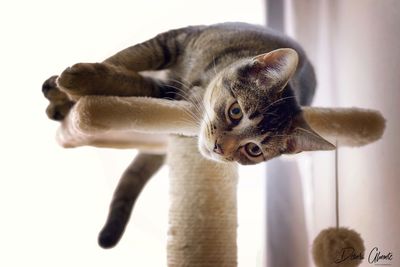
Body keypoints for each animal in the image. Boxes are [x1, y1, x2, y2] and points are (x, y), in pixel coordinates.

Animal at [41, 22, 334, 249]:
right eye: (235, 111)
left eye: (254, 150)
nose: (220, 149)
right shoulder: (174, 40)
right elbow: (121, 60)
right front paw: (65, 91)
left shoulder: (167, 92)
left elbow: (133, 81)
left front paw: (73, 85)